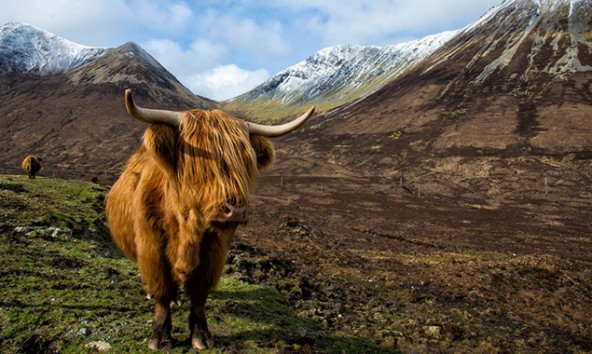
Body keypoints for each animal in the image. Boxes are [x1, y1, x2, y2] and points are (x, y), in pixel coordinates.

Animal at [105, 90, 314, 350]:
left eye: (245, 161)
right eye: (200, 162)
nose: (235, 210)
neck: (186, 229)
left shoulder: (213, 253)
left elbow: (199, 295)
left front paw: (200, 336)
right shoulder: (152, 250)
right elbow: (162, 292)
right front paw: (159, 336)